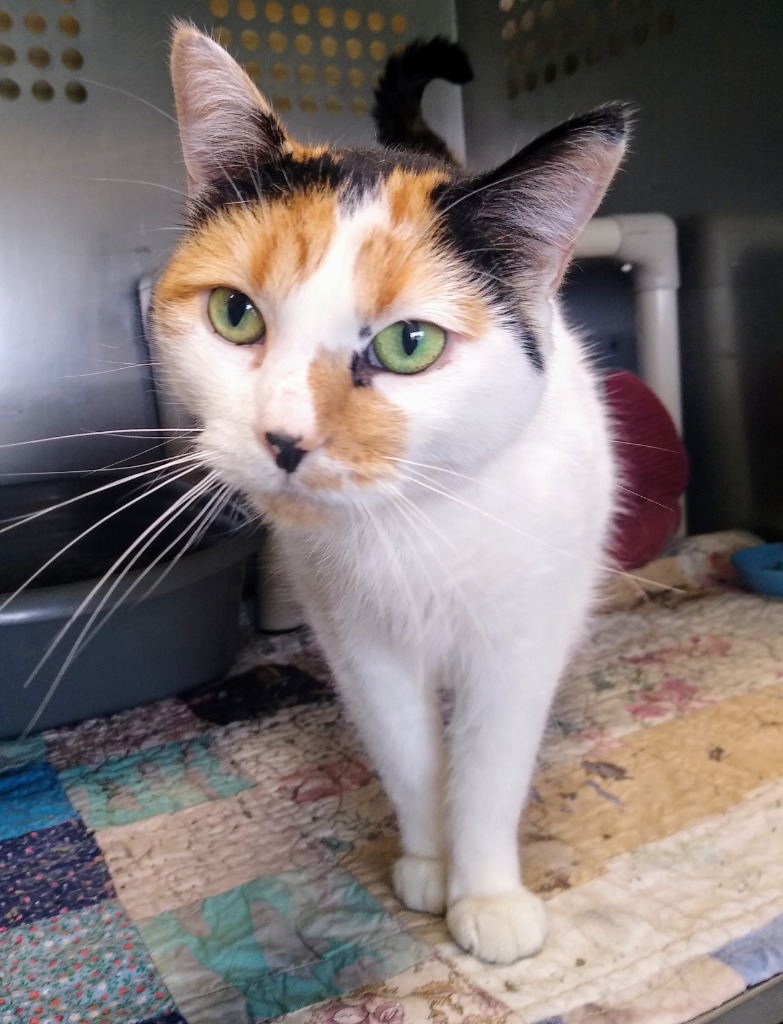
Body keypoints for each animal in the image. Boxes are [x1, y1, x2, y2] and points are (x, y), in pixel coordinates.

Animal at [152, 25, 630, 966]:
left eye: (410, 344)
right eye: (234, 313)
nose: (285, 439)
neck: (412, 528)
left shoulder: (514, 644)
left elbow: (486, 768)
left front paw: (485, 897)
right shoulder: (358, 644)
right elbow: (410, 757)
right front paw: (428, 867)